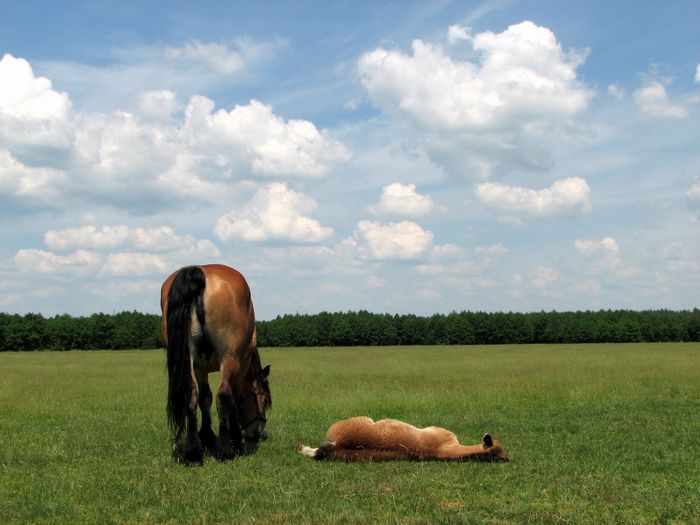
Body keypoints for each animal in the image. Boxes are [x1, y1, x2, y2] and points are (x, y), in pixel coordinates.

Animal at [160, 264, 271, 465]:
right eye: (264, 400)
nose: (261, 433)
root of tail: (199, 272)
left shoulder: (199, 367)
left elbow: (204, 399)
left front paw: (206, 436)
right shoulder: (241, 363)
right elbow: (233, 397)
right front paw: (234, 438)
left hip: (188, 359)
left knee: (191, 395)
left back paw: (193, 452)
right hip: (229, 358)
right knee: (224, 396)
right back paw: (226, 449)